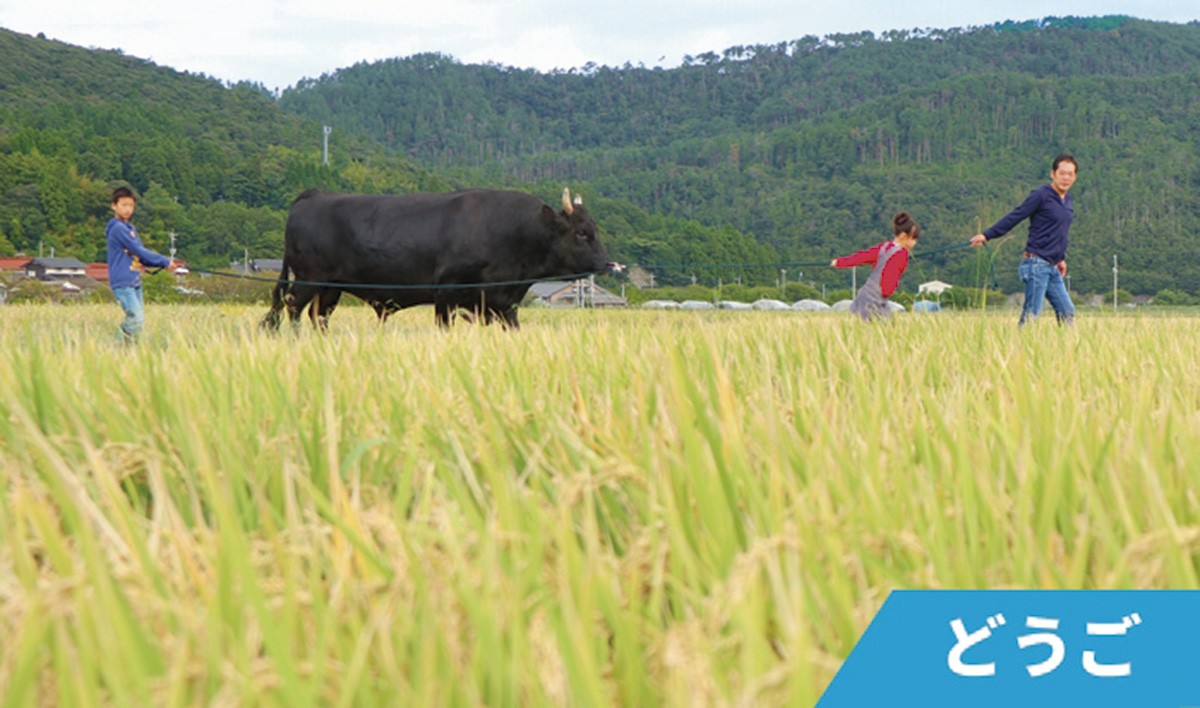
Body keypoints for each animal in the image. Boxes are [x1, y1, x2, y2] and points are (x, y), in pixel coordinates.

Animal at [260, 188, 619, 333]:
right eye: (582, 233)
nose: (609, 265)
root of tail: (314, 195)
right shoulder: (447, 293)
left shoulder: (503, 303)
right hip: (308, 279)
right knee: (293, 307)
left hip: (330, 287)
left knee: (319, 315)